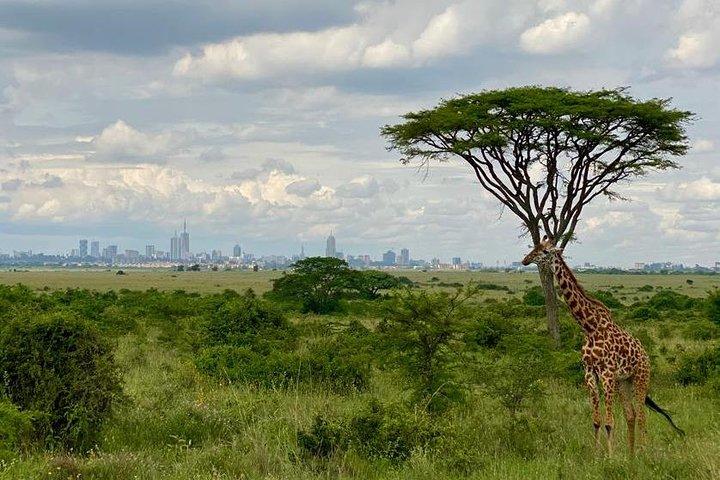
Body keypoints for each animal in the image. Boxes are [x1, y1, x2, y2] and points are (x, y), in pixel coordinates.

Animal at [522, 236, 684, 454]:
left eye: (546, 252)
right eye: (535, 247)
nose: (525, 260)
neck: (590, 327)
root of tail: (645, 354)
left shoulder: (606, 373)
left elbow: (609, 422)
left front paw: (610, 456)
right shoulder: (590, 373)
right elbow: (597, 421)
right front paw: (597, 454)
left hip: (640, 378)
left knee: (642, 416)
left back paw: (643, 452)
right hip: (624, 382)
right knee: (631, 415)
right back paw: (631, 455)